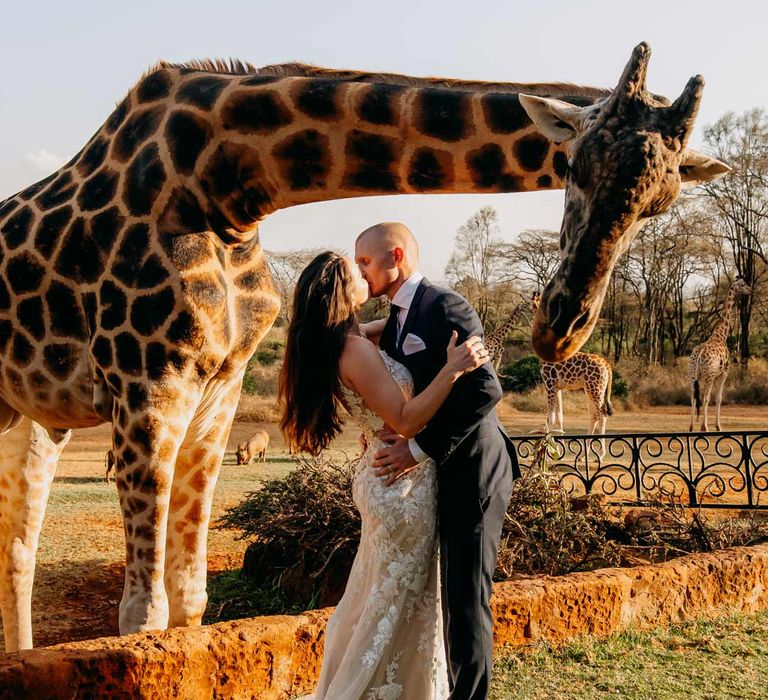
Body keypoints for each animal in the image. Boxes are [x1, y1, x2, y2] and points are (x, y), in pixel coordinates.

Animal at [532, 292, 616, 452]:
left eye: (536, 303)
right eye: (532, 303)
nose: (534, 307)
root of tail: (607, 366)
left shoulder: (549, 384)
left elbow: (550, 417)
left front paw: (550, 447)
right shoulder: (557, 387)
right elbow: (560, 416)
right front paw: (560, 448)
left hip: (595, 388)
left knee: (601, 415)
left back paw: (600, 454)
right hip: (592, 389)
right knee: (594, 415)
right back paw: (585, 453)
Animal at [688, 278, 752, 432]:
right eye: (743, 285)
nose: (751, 290)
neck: (721, 335)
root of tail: (699, 356)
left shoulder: (713, 375)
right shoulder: (723, 374)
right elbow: (718, 398)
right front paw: (718, 426)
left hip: (692, 375)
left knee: (693, 397)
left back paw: (691, 427)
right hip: (709, 375)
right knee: (705, 398)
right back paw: (704, 427)